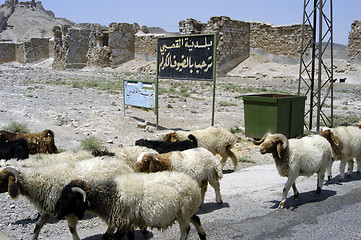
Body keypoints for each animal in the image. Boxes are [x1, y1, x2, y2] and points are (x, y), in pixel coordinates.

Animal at [0, 156, 132, 240]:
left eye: (2, 178)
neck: (39, 181)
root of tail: (126, 166)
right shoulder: (49, 209)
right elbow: (37, 227)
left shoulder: (68, 210)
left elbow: (71, 229)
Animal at [53, 171, 205, 240]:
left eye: (69, 198)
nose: (55, 214)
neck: (111, 194)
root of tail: (194, 185)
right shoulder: (129, 222)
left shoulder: (123, 222)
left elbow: (115, 238)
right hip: (185, 211)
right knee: (196, 220)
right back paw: (203, 236)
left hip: (183, 213)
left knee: (186, 230)